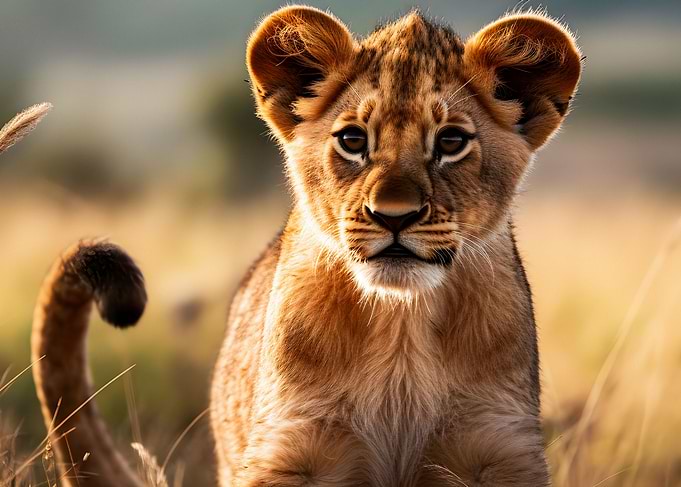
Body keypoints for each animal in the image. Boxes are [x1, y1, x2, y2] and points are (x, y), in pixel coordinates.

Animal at [31, 6, 581, 486]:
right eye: (353, 140)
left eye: (450, 142)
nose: (393, 216)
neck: (400, 328)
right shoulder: (290, 449)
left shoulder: (498, 448)